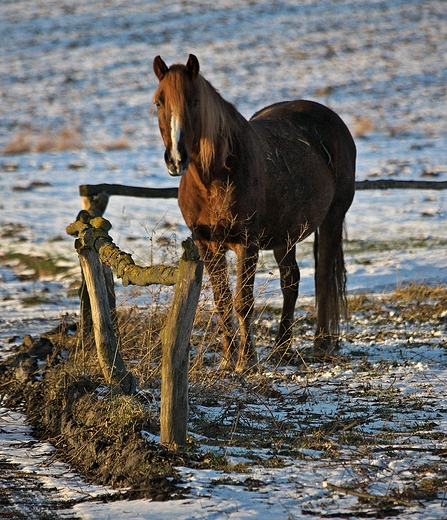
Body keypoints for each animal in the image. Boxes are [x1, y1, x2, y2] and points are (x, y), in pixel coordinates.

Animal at [154, 54, 356, 372]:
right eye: (159, 103)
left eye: (194, 102)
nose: (176, 159)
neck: (215, 177)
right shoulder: (206, 244)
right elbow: (222, 301)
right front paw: (227, 360)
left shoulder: (245, 244)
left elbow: (243, 302)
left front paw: (246, 361)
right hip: (286, 237)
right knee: (291, 282)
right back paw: (281, 350)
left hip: (332, 220)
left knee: (323, 279)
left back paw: (321, 344)